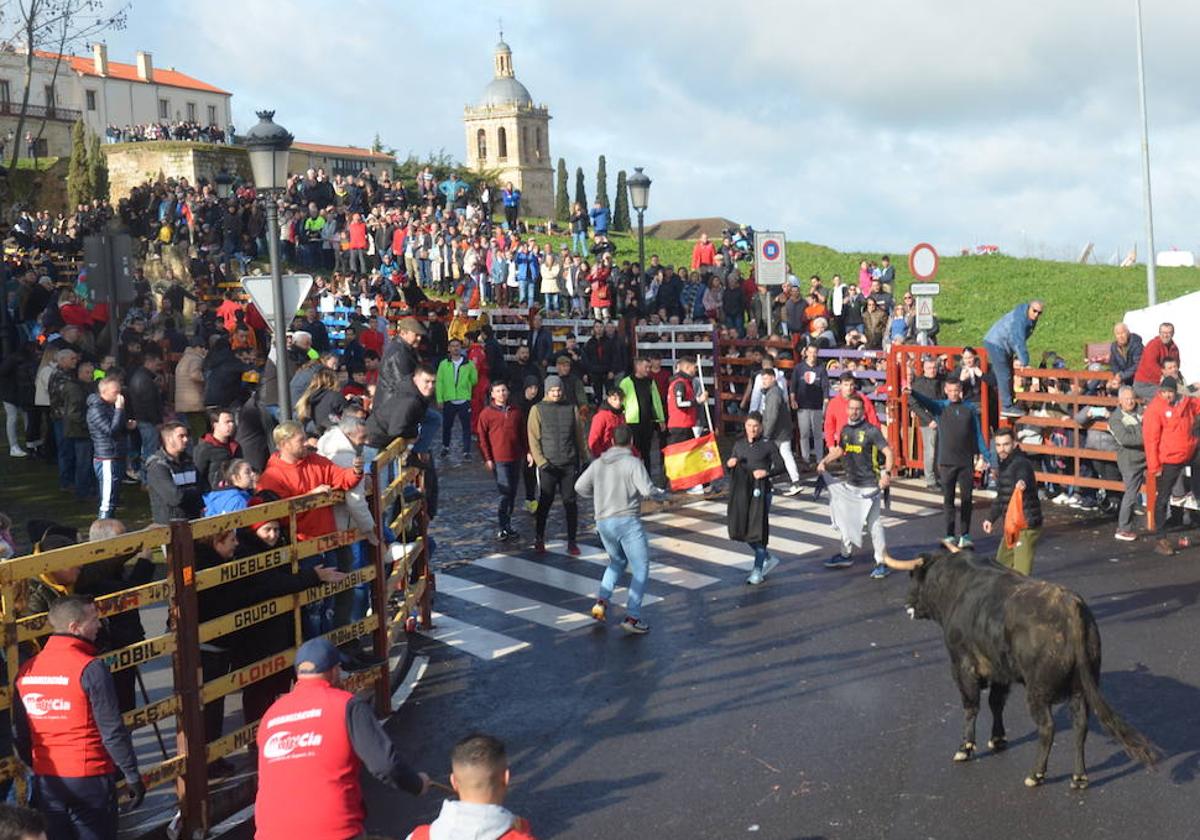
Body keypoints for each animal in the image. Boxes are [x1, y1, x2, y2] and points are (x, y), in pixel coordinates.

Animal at [892, 547, 1161, 792]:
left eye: (914, 576)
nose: (906, 604)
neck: (956, 586)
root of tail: (1070, 607)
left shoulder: (962, 664)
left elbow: (971, 706)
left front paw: (965, 748)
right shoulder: (1000, 671)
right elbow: (996, 703)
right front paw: (998, 739)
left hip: (1037, 692)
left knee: (1047, 728)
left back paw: (1036, 775)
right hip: (1080, 689)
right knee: (1080, 726)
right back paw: (1079, 777)